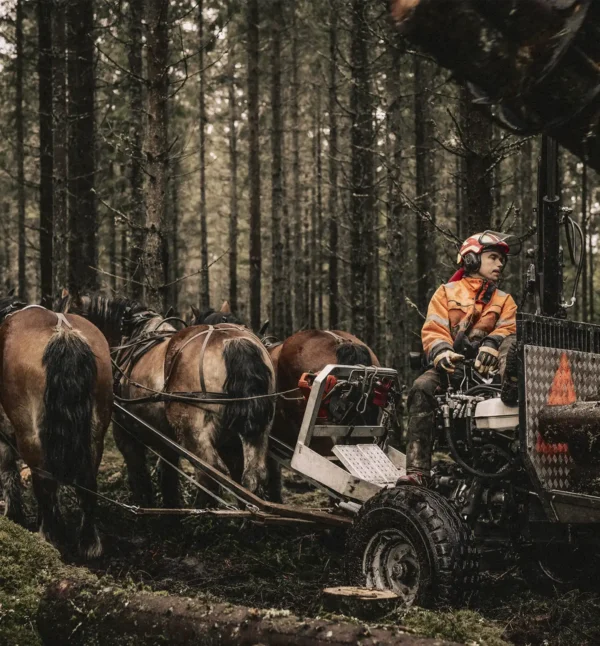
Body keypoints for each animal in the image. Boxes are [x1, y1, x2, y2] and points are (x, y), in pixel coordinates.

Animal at [0, 296, 112, 560]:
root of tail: (64, 334)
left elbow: (7, 470)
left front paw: (14, 514)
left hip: (30, 433)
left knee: (45, 481)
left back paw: (49, 537)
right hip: (96, 432)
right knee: (87, 484)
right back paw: (89, 543)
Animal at [56, 294, 276, 512]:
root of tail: (233, 341)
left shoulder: (126, 435)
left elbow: (140, 479)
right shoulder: (169, 442)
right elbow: (168, 481)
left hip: (191, 430)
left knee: (210, 475)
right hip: (254, 432)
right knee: (252, 477)